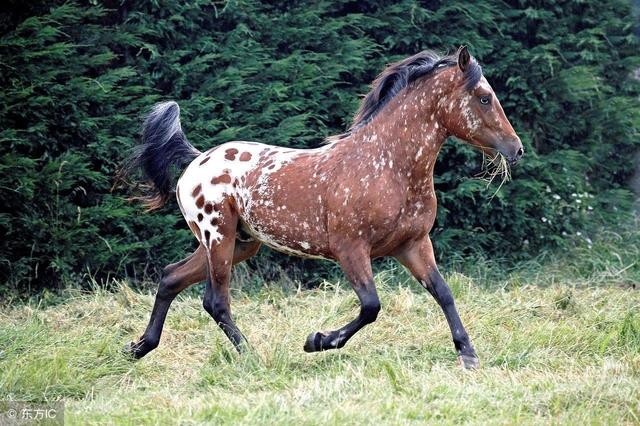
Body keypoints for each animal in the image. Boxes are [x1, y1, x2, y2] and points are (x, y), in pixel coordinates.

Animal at [122, 45, 524, 368]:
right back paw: (252, 356)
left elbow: (443, 292)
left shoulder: (412, 245)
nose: (516, 149)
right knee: (215, 301)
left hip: (240, 243)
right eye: (484, 98)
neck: (387, 165)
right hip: (218, 238)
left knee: (171, 277)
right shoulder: (350, 249)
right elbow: (371, 306)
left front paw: (468, 354)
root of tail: (195, 160)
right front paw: (317, 341)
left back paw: (139, 348)